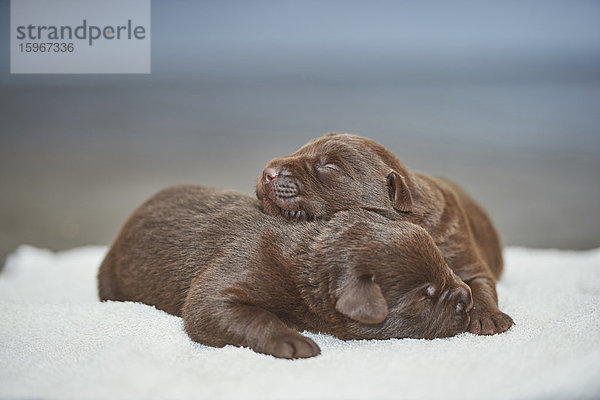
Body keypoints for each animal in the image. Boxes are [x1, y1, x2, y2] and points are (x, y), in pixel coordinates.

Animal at [98, 186, 474, 358]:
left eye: (446, 266)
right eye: (426, 295)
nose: (468, 300)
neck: (305, 259)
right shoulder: (236, 273)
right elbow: (229, 312)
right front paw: (293, 340)